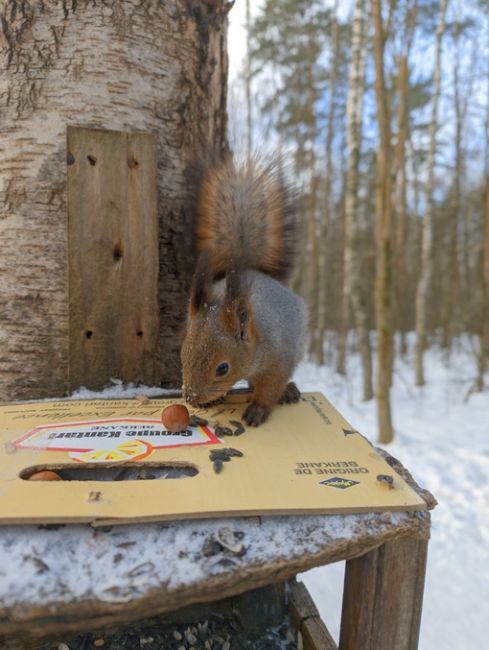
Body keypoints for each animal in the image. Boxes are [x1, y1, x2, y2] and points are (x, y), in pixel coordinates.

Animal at [181, 153, 306, 426]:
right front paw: (213, 400)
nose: (191, 398)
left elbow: (270, 388)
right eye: (182, 355)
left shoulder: (279, 360)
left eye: (222, 368)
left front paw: (258, 409)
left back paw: (289, 390)